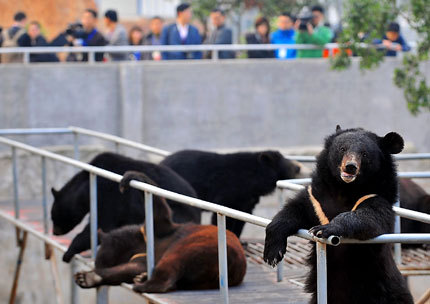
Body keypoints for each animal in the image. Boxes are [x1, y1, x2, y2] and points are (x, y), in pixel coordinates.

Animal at [50, 153, 202, 262]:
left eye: (52, 216)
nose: (55, 232)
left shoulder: (108, 192)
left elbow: (103, 224)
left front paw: (68, 252)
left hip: (179, 213)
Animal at [75, 171, 247, 292]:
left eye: (100, 256)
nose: (97, 264)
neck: (139, 242)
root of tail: (233, 266)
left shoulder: (161, 232)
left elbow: (159, 213)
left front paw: (131, 177)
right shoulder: (141, 253)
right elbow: (132, 267)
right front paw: (90, 277)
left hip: (201, 246)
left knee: (174, 260)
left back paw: (144, 284)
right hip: (203, 278)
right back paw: (141, 279)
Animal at [160, 150, 300, 238]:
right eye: (288, 164)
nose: (298, 167)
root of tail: (162, 162)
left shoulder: (247, 201)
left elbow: (241, 218)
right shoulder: (229, 190)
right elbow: (223, 213)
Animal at [262, 126, 414, 304]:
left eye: (364, 154)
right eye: (342, 149)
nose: (350, 167)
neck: (345, 189)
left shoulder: (376, 198)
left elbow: (368, 218)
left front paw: (325, 229)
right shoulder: (316, 200)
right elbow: (293, 211)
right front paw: (272, 255)